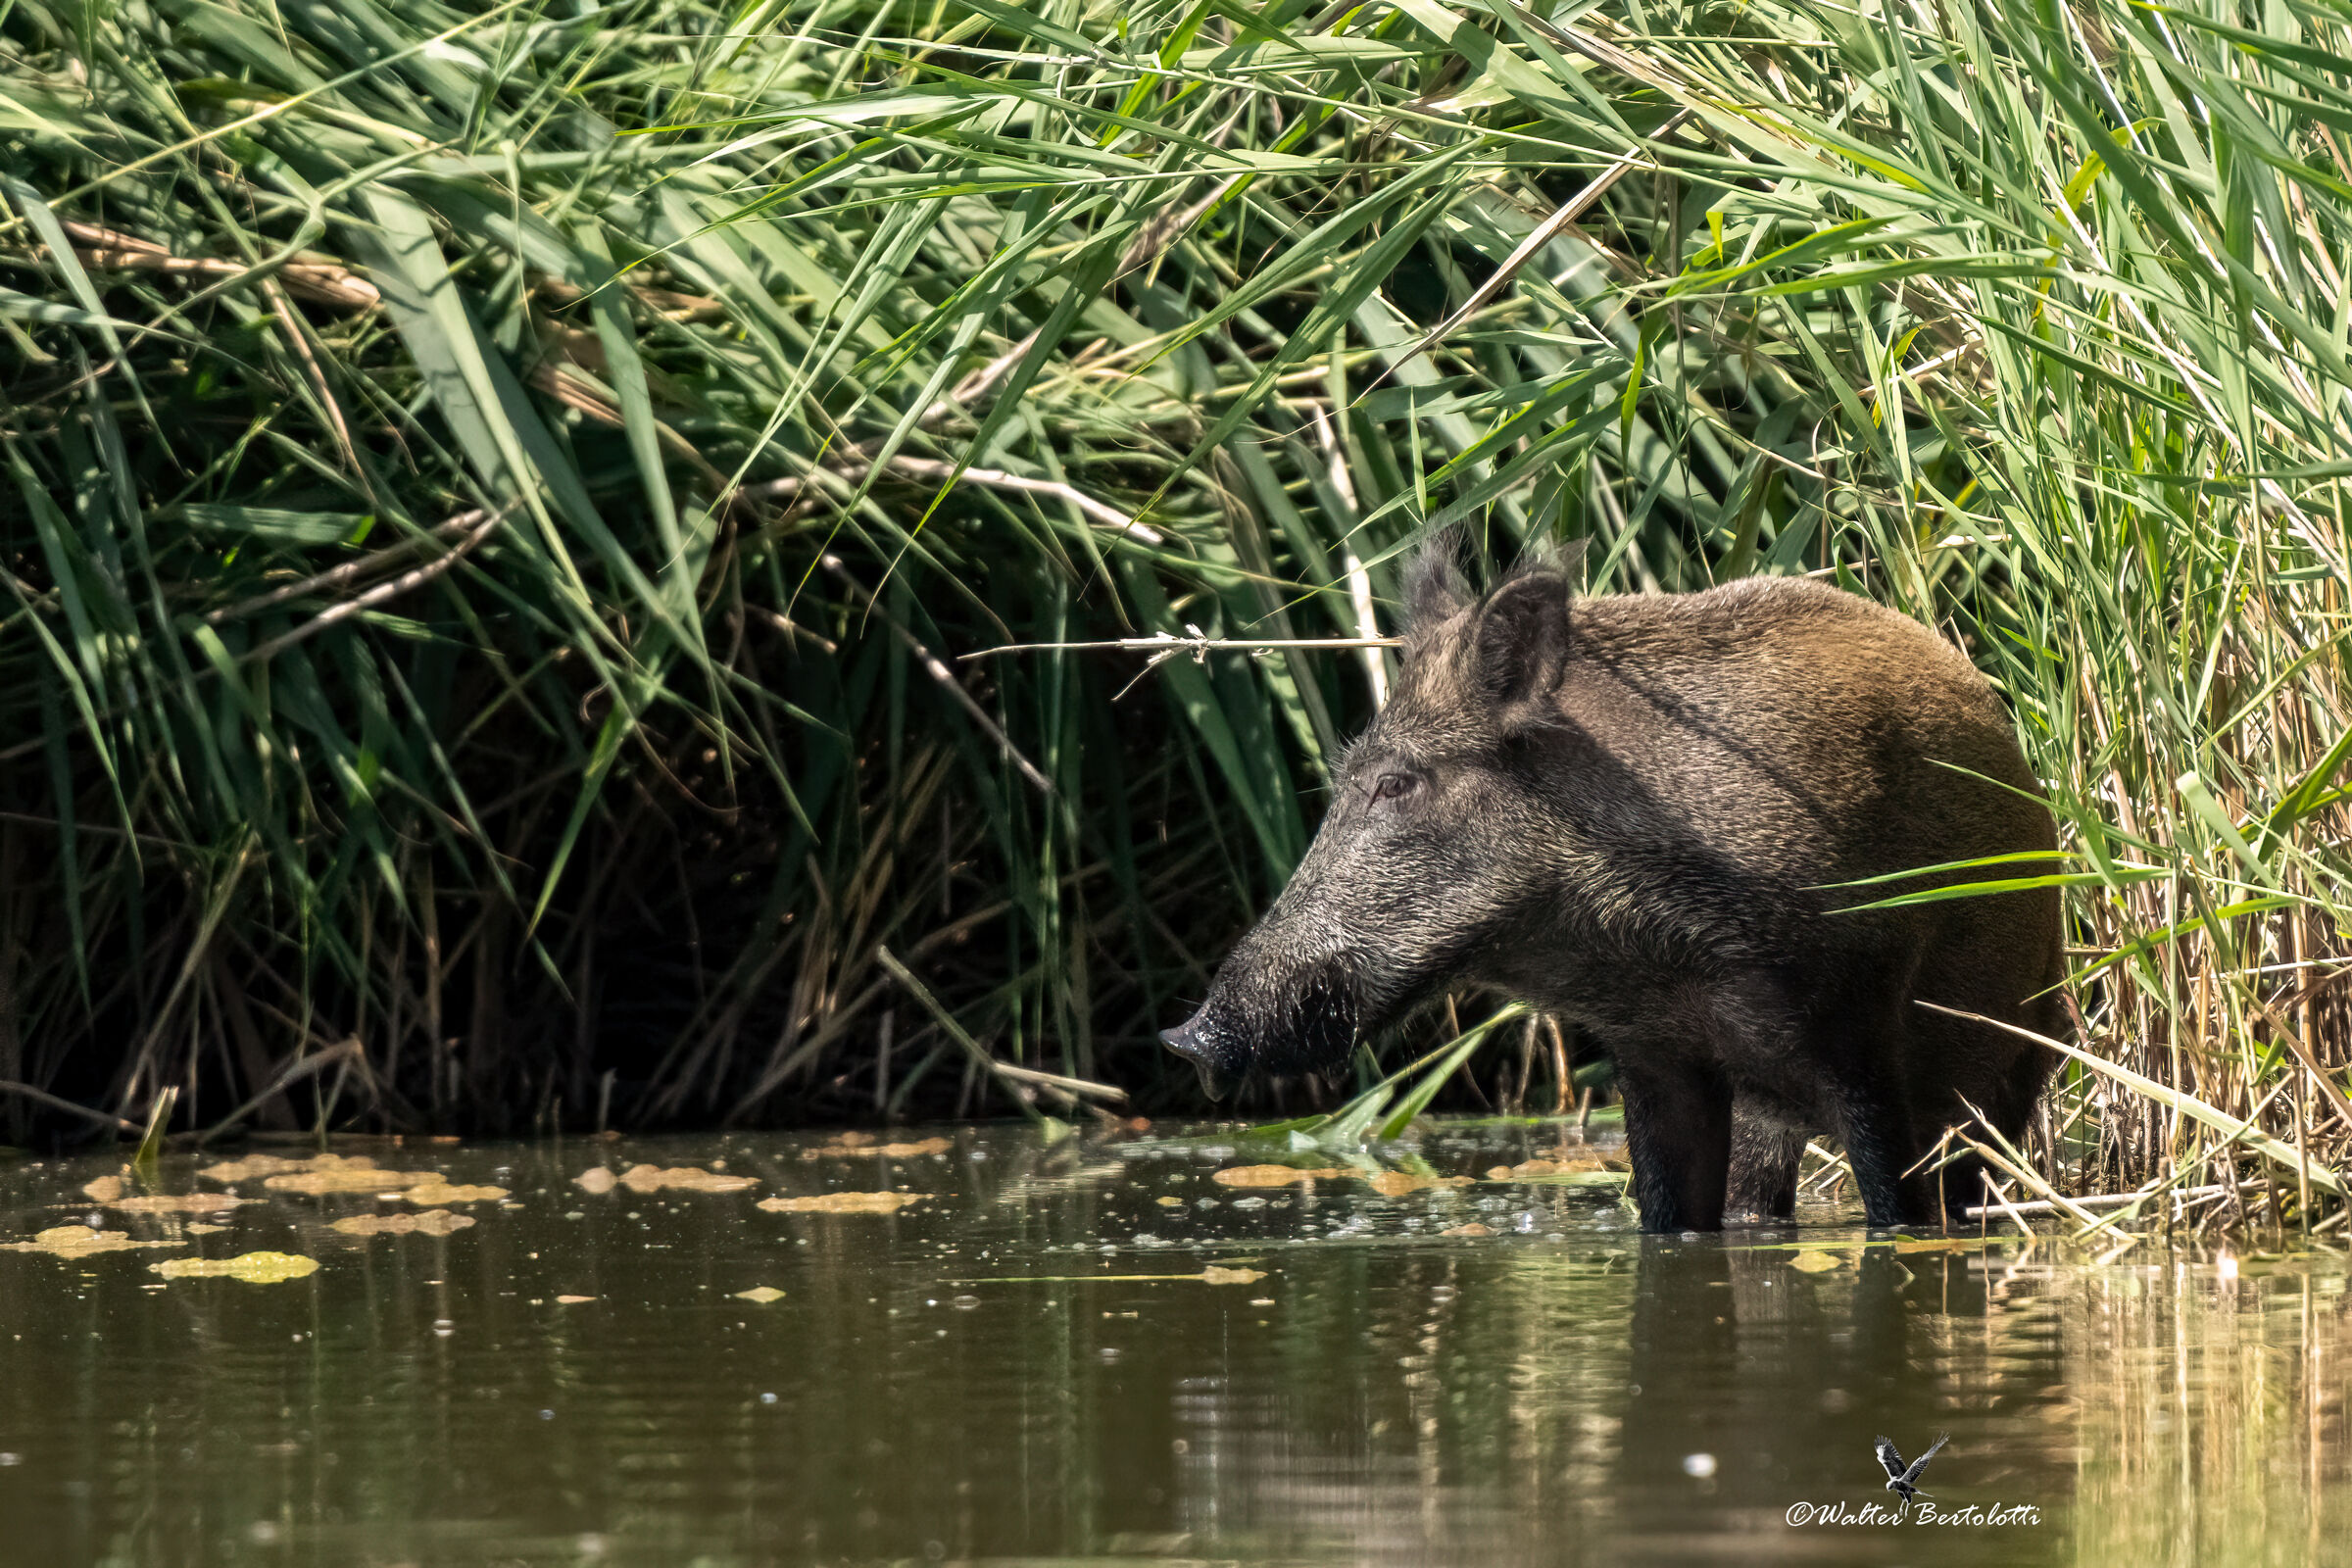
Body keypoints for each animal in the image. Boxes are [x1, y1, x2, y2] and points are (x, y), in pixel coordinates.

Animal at [1159, 554, 2063, 1232]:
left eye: (1396, 782)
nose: (1184, 1037)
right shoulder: (1655, 1055)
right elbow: (1670, 1217)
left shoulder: (1863, 1023)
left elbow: (1895, 1210)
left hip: (2017, 1058)